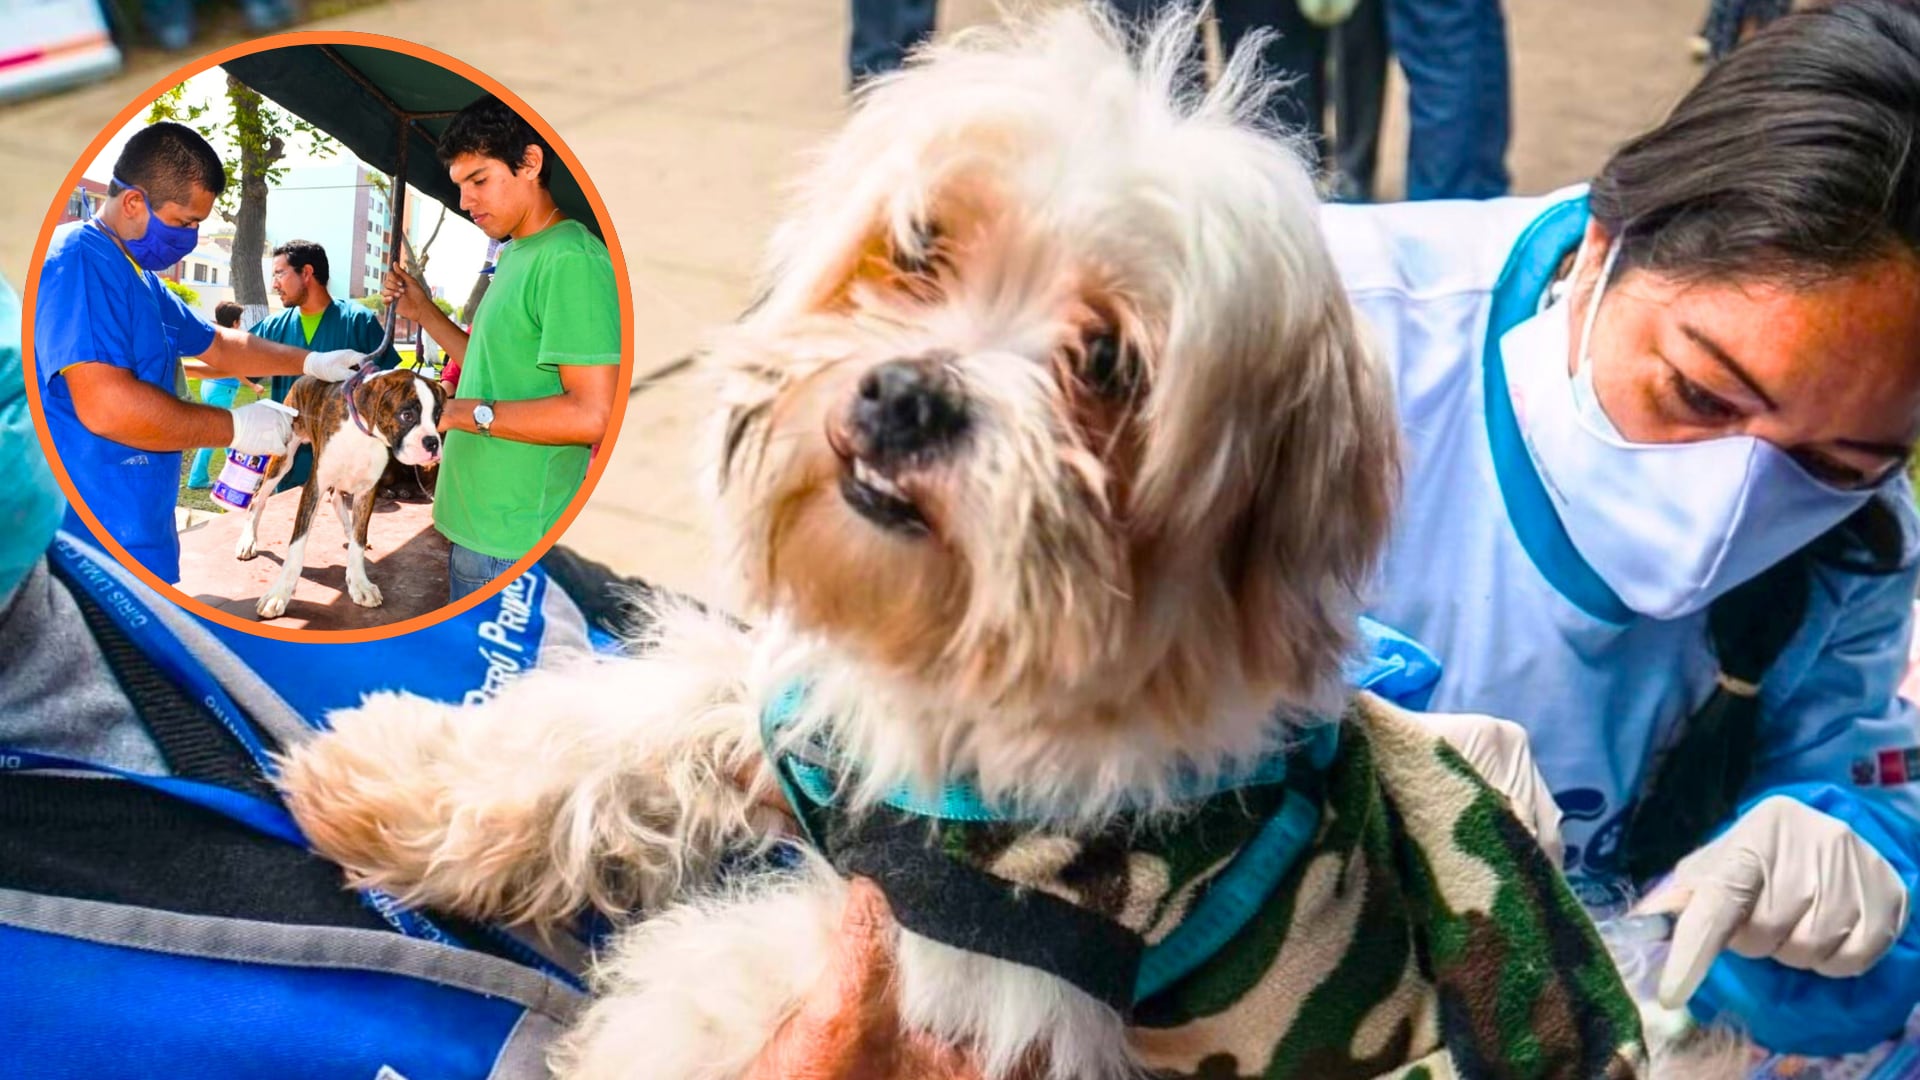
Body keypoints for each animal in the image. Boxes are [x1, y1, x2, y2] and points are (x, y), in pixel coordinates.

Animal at [237, 353, 445, 618]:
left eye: (437, 416)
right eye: (407, 416)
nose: (432, 443)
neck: (363, 435)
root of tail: (304, 378)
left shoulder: (367, 491)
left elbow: (357, 541)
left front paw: (359, 583)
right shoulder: (314, 486)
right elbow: (296, 546)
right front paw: (279, 594)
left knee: (337, 499)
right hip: (283, 458)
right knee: (258, 499)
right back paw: (247, 541)